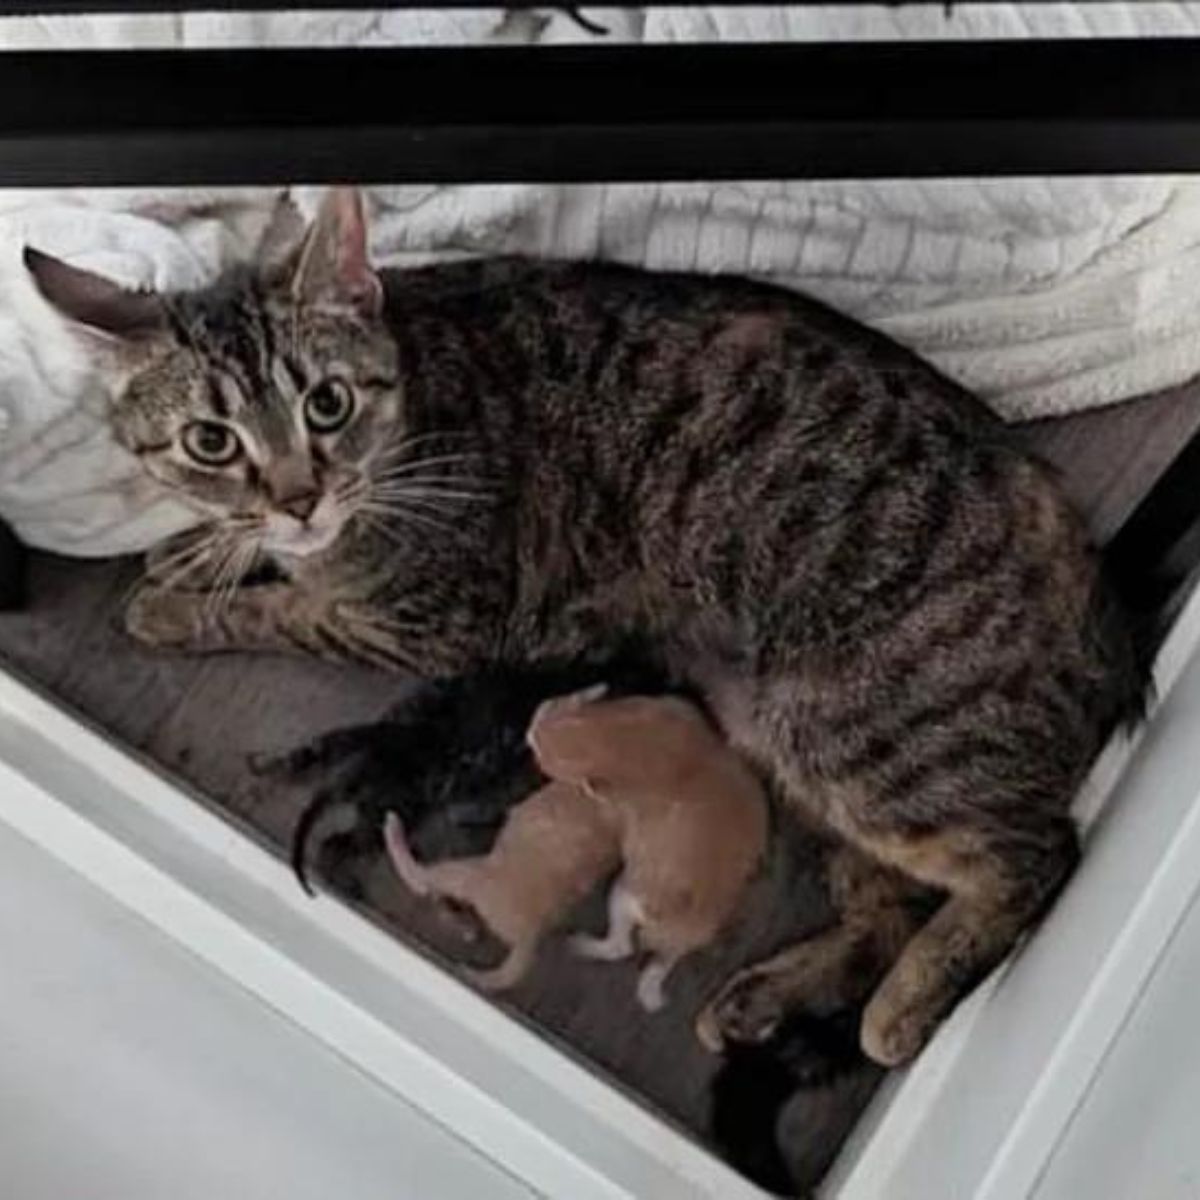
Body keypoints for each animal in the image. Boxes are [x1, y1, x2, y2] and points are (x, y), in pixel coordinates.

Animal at [528, 691, 768, 1008]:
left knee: (620, 946)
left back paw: (583, 946)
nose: (530, 735)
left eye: (543, 760)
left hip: (623, 895)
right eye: (555, 707)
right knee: (662, 960)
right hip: (685, 936)